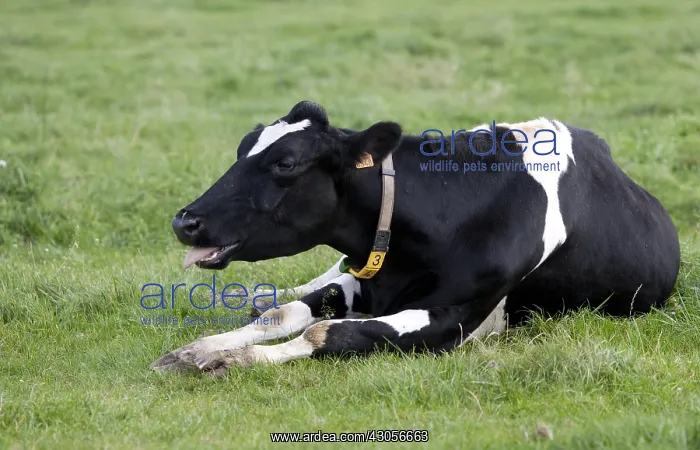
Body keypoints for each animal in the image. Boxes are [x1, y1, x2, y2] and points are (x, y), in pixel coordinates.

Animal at [152, 100, 681, 375]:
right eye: (244, 148)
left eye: (285, 163)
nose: (184, 222)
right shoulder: (361, 278)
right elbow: (290, 313)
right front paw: (202, 348)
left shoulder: (455, 319)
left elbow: (324, 331)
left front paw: (235, 358)